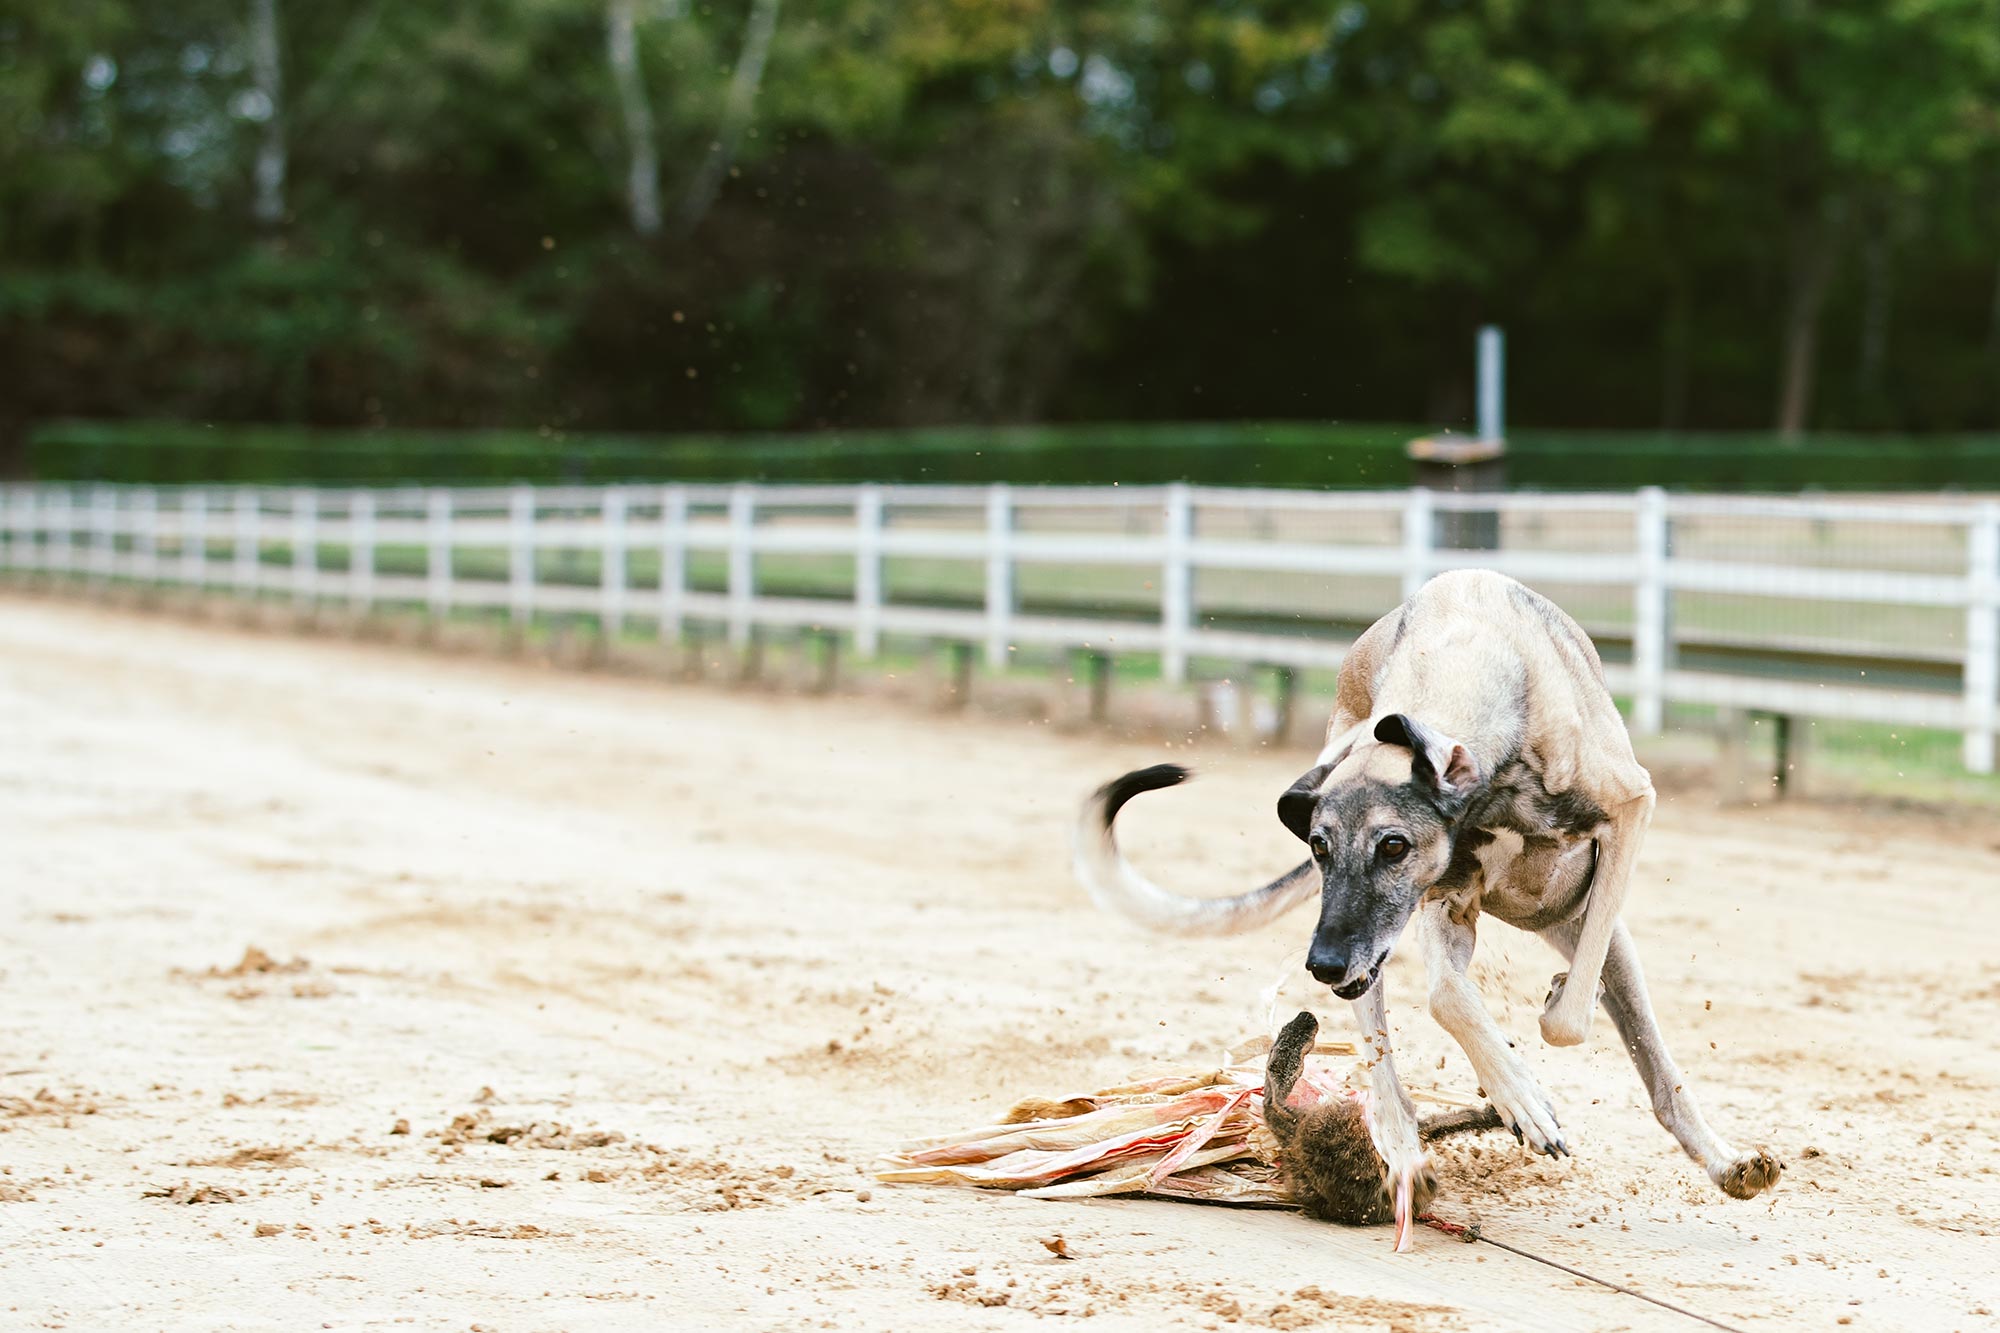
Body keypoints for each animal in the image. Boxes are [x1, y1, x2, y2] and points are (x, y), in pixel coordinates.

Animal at [1080, 568, 1784, 1216]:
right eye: (1319, 846)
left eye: (1394, 845)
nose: (1322, 964)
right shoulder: (1447, 902)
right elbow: (1448, 996)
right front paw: (1519, 1096)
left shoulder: (1632, 808)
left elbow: (1563, 1020)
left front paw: (1549, 1020)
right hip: (1389, 949)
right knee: (1381, 1050)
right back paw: (1401, 1153)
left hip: (1594, 932)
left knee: (1658, 1074)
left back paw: (1727, 1163)